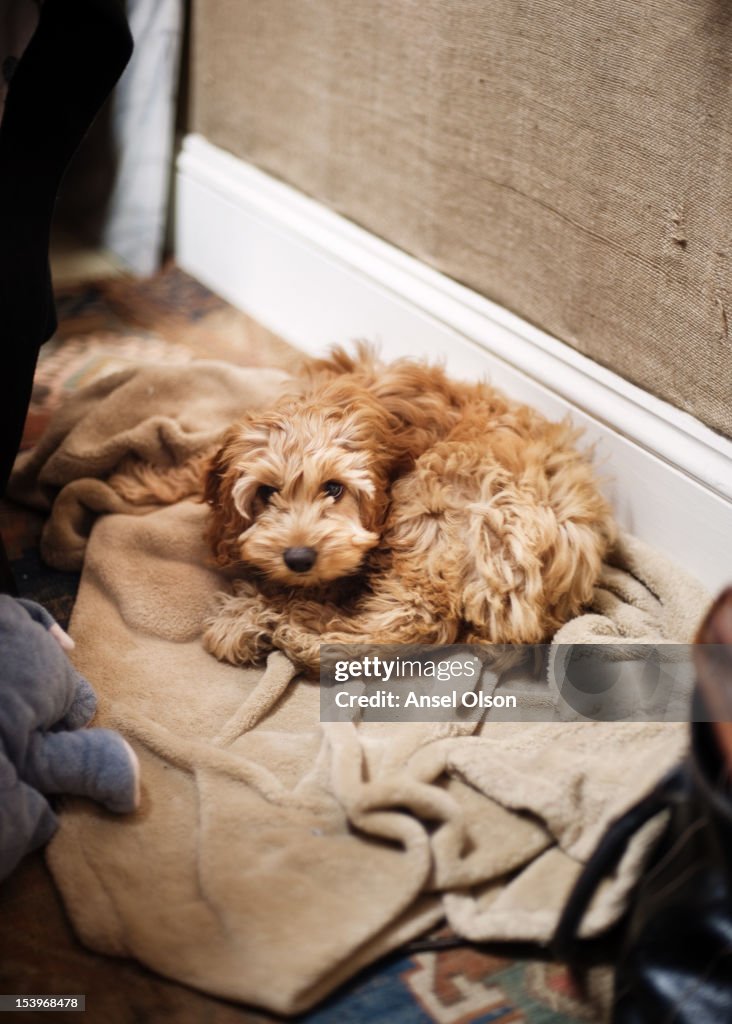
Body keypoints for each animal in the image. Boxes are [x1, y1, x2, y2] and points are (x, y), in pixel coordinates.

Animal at [116, 348, 618, 675]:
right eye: (266, 492)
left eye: (334, 488)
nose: (299, 558)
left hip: (437, 497)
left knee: (414, 619)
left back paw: (274, 625)